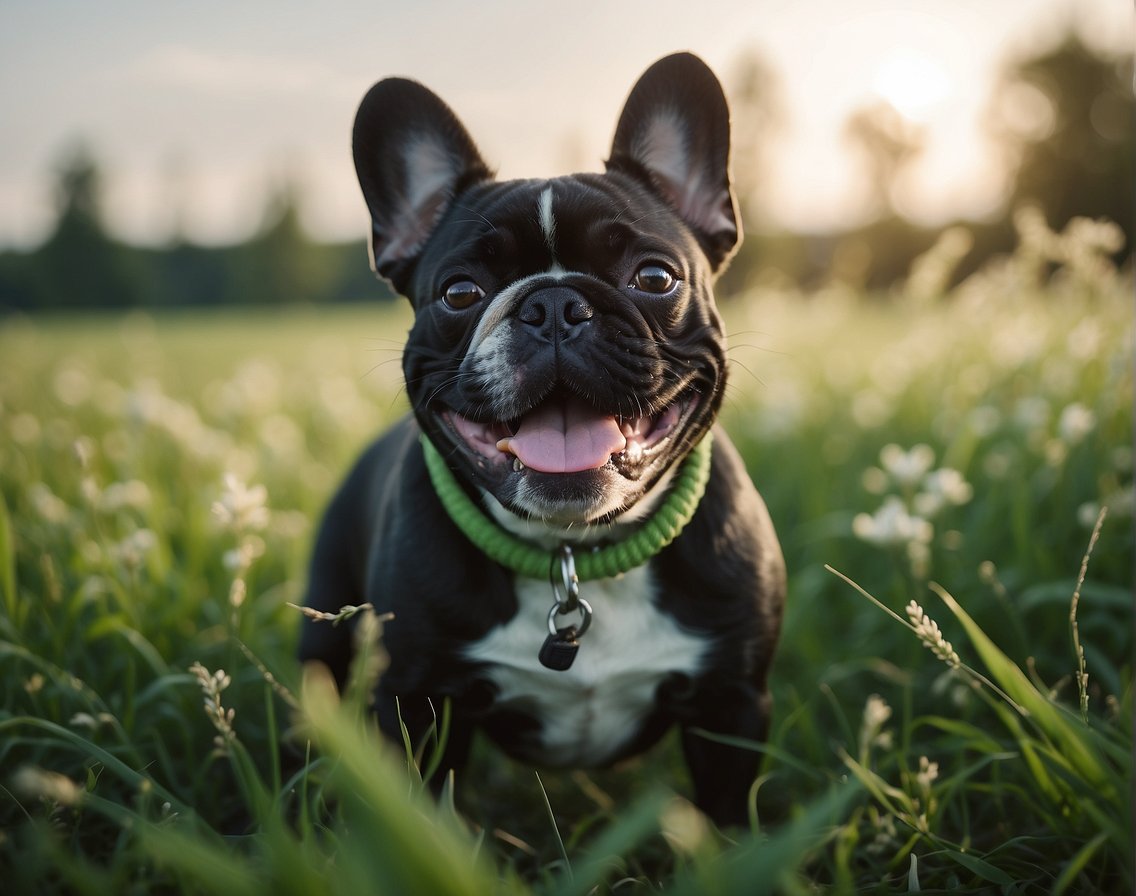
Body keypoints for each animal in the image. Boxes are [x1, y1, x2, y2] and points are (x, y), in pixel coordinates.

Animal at [297, 52, 786, 826]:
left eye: (655, 276)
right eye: (459, 293)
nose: (553, 304)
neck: (573, 554)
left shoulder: (731, 705)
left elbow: (730, 814)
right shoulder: (415, 702)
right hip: (325, 631)